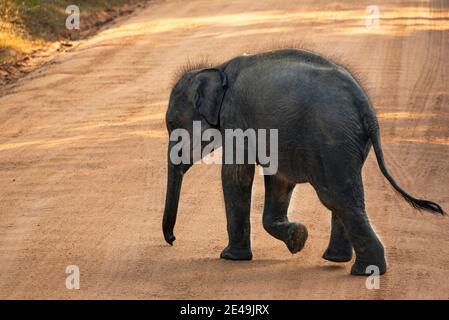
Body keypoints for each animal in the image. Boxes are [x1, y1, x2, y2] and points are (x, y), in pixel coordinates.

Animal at [162, 48, 444, 276]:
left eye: (172, 125)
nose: (173, 240)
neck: (217, 68)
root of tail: (366, 109)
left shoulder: (235, 118)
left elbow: (236, 174)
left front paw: (230, 257)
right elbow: (279, 180)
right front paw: (297, 238)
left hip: (332, 139)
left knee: (337, 197)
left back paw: (364, 271)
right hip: (346, 143)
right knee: (345, 196)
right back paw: (337, 260)